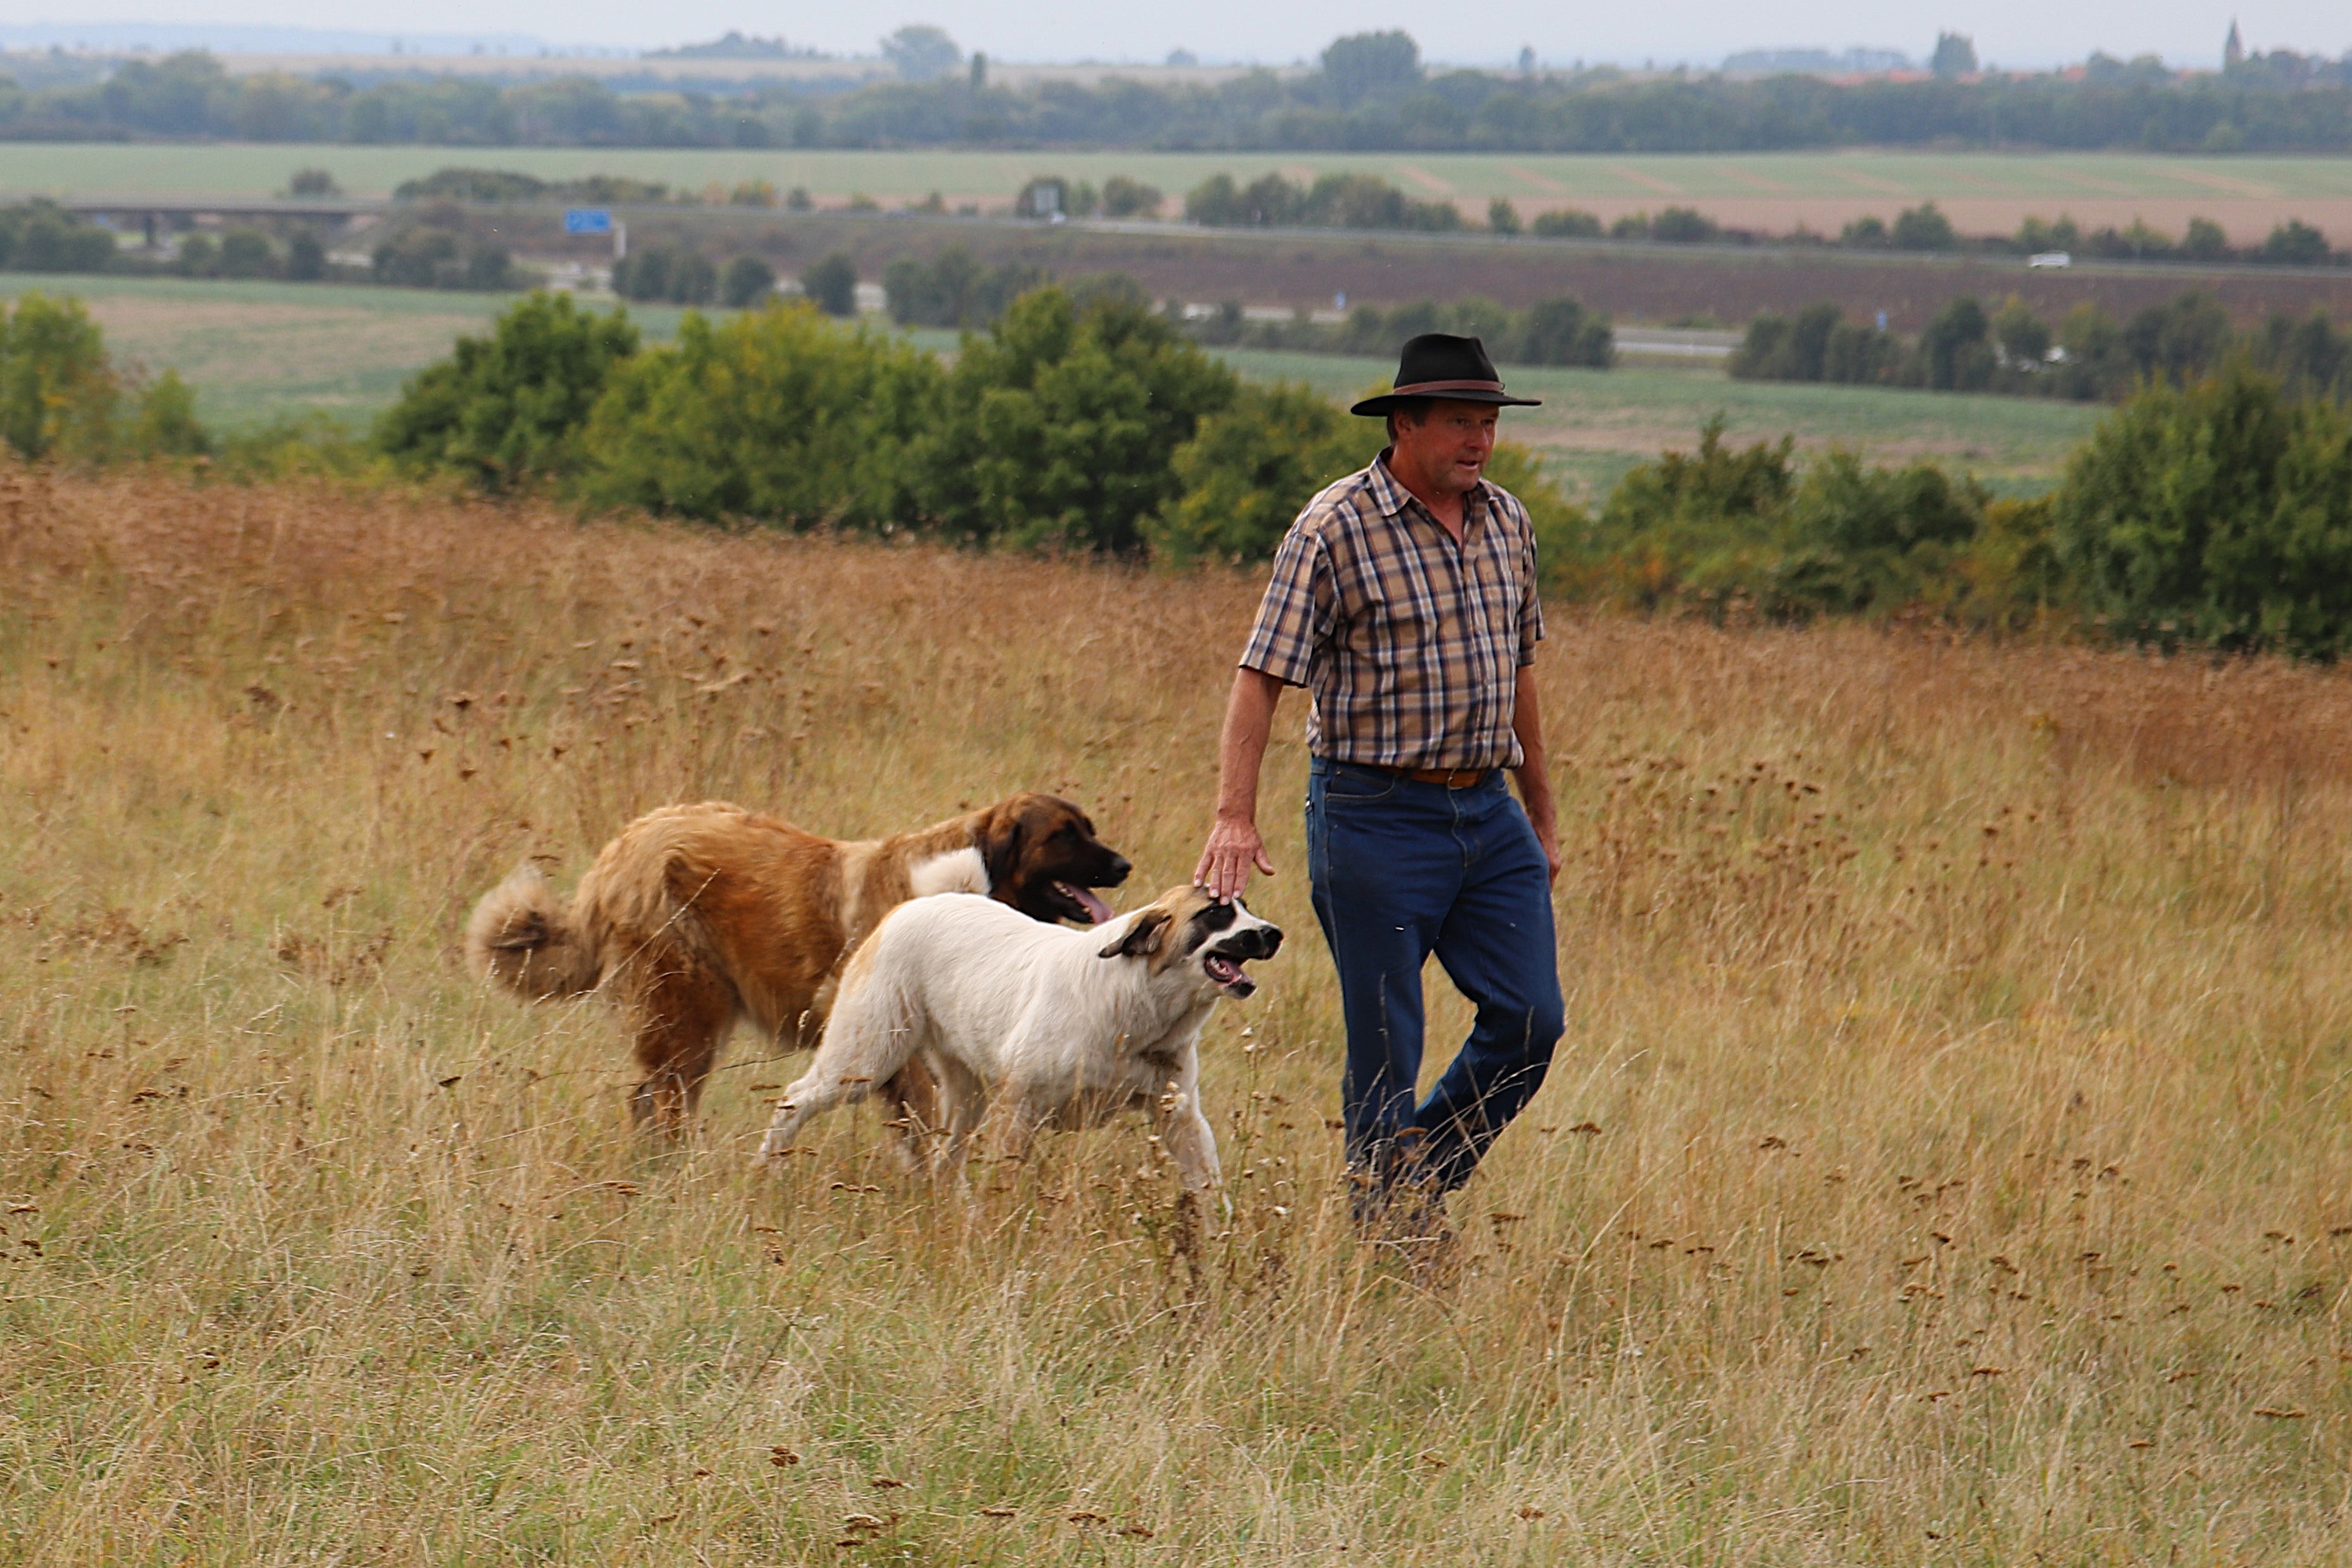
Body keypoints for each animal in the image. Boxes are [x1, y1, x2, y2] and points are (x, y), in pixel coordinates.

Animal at [465, 799, 1129, 1128]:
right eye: (1065, 835)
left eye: (1089, 828)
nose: (1124, 866)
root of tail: (621, 848)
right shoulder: (902, 1057)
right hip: (686, 1016)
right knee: (656, 1103)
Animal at [752, 883, 1279, 1189]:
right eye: (1215, 914)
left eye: (1245, 908)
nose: (1273, 933)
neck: (1135, 1004)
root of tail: (911, 907)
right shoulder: (1018, 1114)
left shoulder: (1181, 1119)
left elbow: (1209, 1192)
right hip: (864, 1060)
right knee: (794, 1100)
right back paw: (768, 1171)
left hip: (966, 1096)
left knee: (947, 1158)